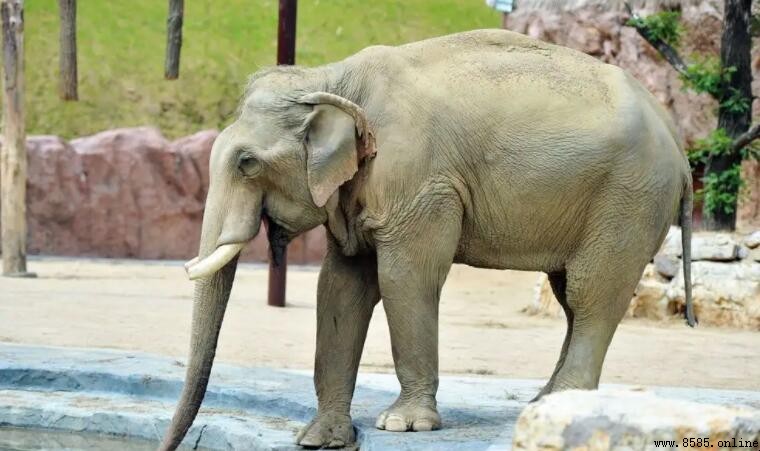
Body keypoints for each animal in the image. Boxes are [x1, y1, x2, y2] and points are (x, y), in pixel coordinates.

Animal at [159, 29, 694, 450]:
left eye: (247, 163)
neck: (333, 79)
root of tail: (676, 137)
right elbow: (340, 288)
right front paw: (320, 438)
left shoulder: (418, 181)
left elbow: (405, 279)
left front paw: (403, 426)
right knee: (568, 296)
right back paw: (545, 404)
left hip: (629, 197)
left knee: (590, 295)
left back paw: (561, 400)